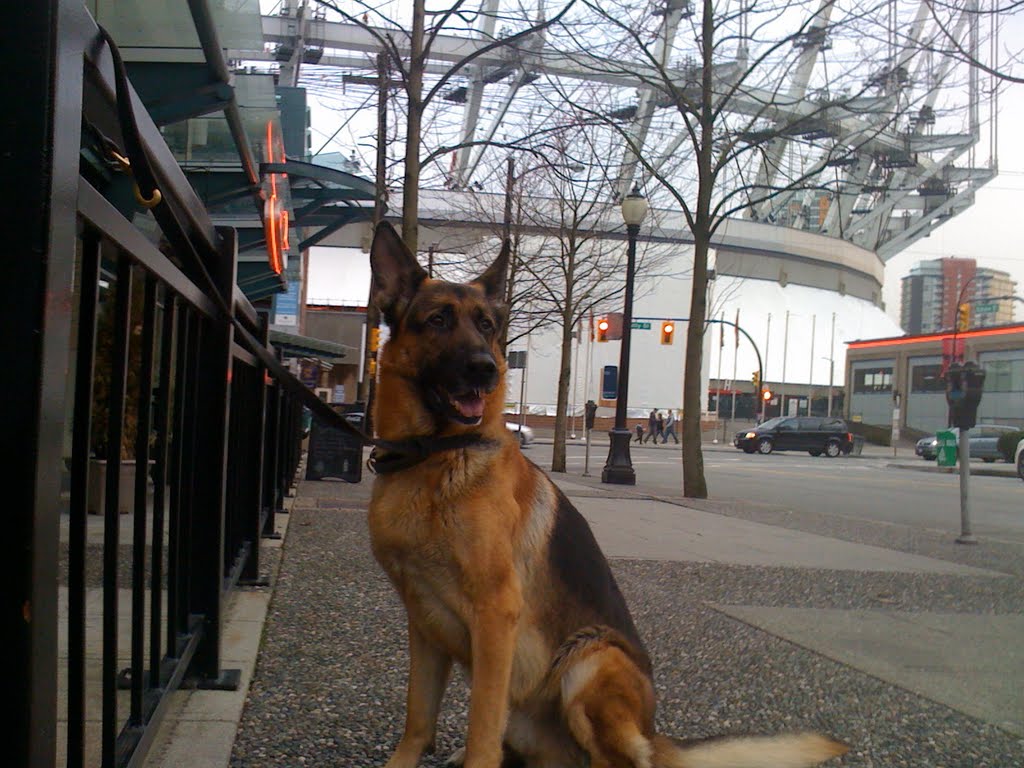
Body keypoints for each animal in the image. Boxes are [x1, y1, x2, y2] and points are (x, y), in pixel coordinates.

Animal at [368, 218, 847, 768]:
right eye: (439, 320)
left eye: (486, 325)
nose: (486, 369)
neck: (434, 456)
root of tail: (656, 735)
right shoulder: (424, 625)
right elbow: (418, 720)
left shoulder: (494, 617)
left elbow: (481, 731)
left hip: (591, 659)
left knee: (622, 758)